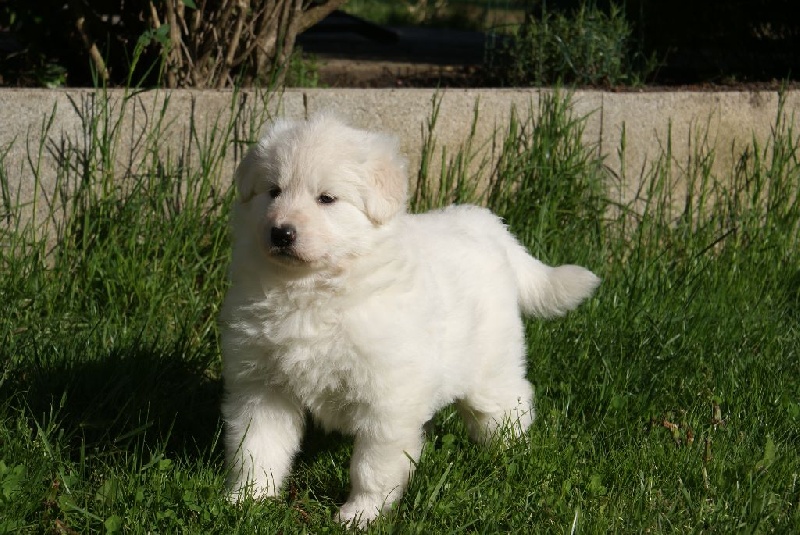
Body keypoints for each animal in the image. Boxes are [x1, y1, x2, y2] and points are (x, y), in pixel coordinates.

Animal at [220, 115, 600, 524]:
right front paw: (248, 499)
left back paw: (514, 456)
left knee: (508, 407)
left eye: (326, 199)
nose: (281, 232)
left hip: (491, 367)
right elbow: (257, 447)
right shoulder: (263, 387)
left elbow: (372, 465)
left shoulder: (387, 397)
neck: (311, 289)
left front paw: (361, 514)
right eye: (273, 191)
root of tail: (489, 225)